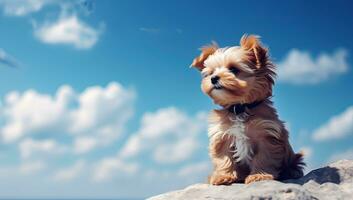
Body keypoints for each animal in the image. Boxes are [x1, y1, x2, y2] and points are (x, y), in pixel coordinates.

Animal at [191, 34, 304, 184]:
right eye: (211, 73)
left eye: (233, 69)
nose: (214, 78)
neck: (239, 107)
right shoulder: (222, 136)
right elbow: (223, 158)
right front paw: (223, 176)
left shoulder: (267, 134)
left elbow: (264, 156)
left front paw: (259, 175)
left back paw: (291, 171)